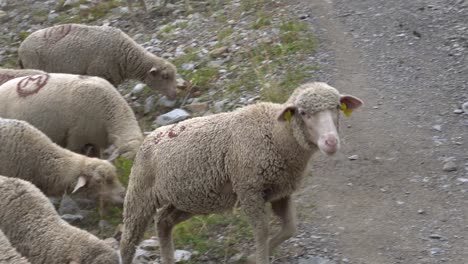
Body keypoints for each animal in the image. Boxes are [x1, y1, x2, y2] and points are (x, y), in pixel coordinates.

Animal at [119, 82, 362, 264]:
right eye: (303, 113)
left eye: (337, 108)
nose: (331, 142)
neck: (276, 134)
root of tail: (151, 135)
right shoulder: (249, 189)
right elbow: (262, 230)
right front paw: (260, 258)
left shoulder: (281, 191)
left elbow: (290, 227)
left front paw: (252, 256)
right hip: (139, 194)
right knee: (128, 243)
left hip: (188, 199)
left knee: (163, 221)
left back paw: (168, 258)